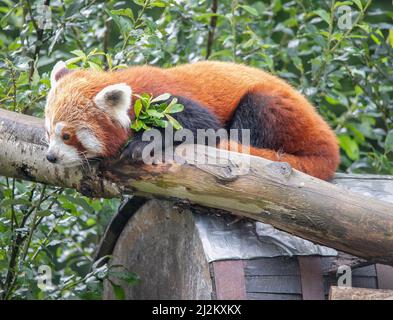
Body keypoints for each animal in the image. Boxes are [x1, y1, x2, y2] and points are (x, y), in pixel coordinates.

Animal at [44, 60, 338, 180]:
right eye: (48, 133)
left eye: (67, 135)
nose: (51, 157)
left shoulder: (167, 97)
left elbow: (207, 128)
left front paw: (143, 143)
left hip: (278, 109)